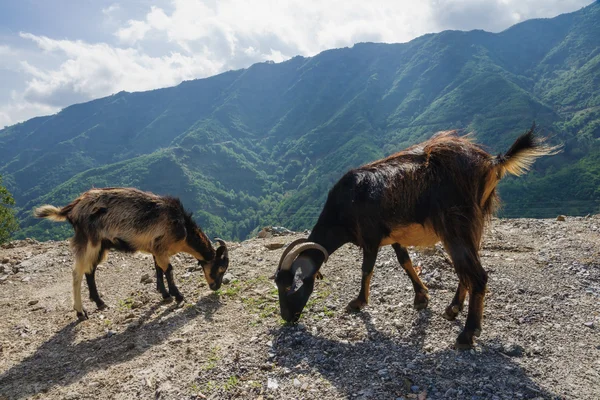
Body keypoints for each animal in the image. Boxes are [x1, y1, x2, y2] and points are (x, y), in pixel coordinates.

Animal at [34, 188, 230, 322]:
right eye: (220, 268)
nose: (216, 287)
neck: (183, 229)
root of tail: (72, 208)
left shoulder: (156, 249)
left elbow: (158, 269)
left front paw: (165, 294)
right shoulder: (160, 248)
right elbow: (169, 270)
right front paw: (178, 296)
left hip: (101, 246)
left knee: (90, 271)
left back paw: (99, 302)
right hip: (89, 241)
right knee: (77, 272)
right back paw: (81, 312)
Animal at [274, 126, 560, 350]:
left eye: (290, 287)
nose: (287, 317)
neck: (347, 202)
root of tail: (490, 162)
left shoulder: (370, 236)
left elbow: (367, 268)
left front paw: (358, 302)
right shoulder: (394, 235)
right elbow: (405, 261)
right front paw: (421, 297)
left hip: (456, 224)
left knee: (477, 274)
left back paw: (467, 334)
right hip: (472, 226)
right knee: (466, 270)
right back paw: (453, 309)